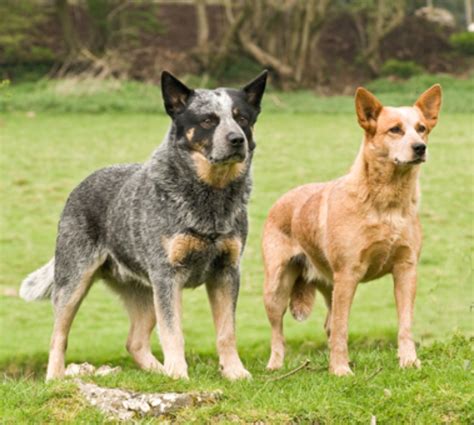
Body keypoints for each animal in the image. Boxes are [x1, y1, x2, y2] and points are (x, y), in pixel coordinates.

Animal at [19, 70, 266, 380]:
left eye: (242, 118)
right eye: (208, 120)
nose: (236, 139)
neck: (211, 197)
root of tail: (81, 184)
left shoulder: (227, 271)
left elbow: (226, 332)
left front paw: (234, 372)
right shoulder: (167, 275)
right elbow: (173, 332)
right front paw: (179, 374)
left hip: (145, 293)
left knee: (134, 342)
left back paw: (159, 372)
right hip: (73, 282)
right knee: (58, 337)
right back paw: (55, 379)